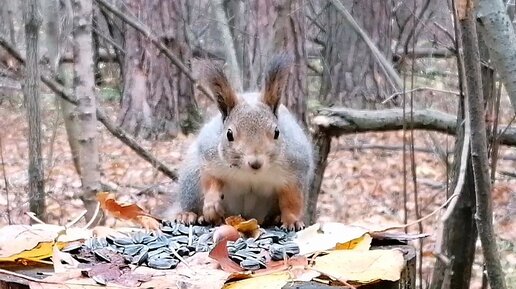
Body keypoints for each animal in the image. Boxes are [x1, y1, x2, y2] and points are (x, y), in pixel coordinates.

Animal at [172, 54, 314, 230]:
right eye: (229, 134)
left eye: (277, 132)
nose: (255, 163)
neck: (250, 174)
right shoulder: (208, 155)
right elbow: (211, 180)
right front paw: (212, 205)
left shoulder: (296, 167)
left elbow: (292, 199)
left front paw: (292, 220)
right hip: (190, 178)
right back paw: (189, 214)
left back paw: (275, 218)